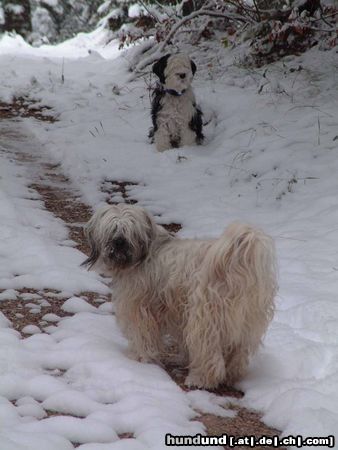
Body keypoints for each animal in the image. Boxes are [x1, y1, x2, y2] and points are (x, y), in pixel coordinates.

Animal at [82, 203, 278, 386]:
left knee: (207, 349)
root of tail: (236, 265)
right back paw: (231, 374)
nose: (119, 242)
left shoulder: (139, 307)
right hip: (246, 320)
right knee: (238, 350)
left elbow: (142, 335)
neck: (147, 252)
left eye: (129, 229)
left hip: (205, 316)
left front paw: (139, 358)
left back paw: (199, 378)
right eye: (112, 228)